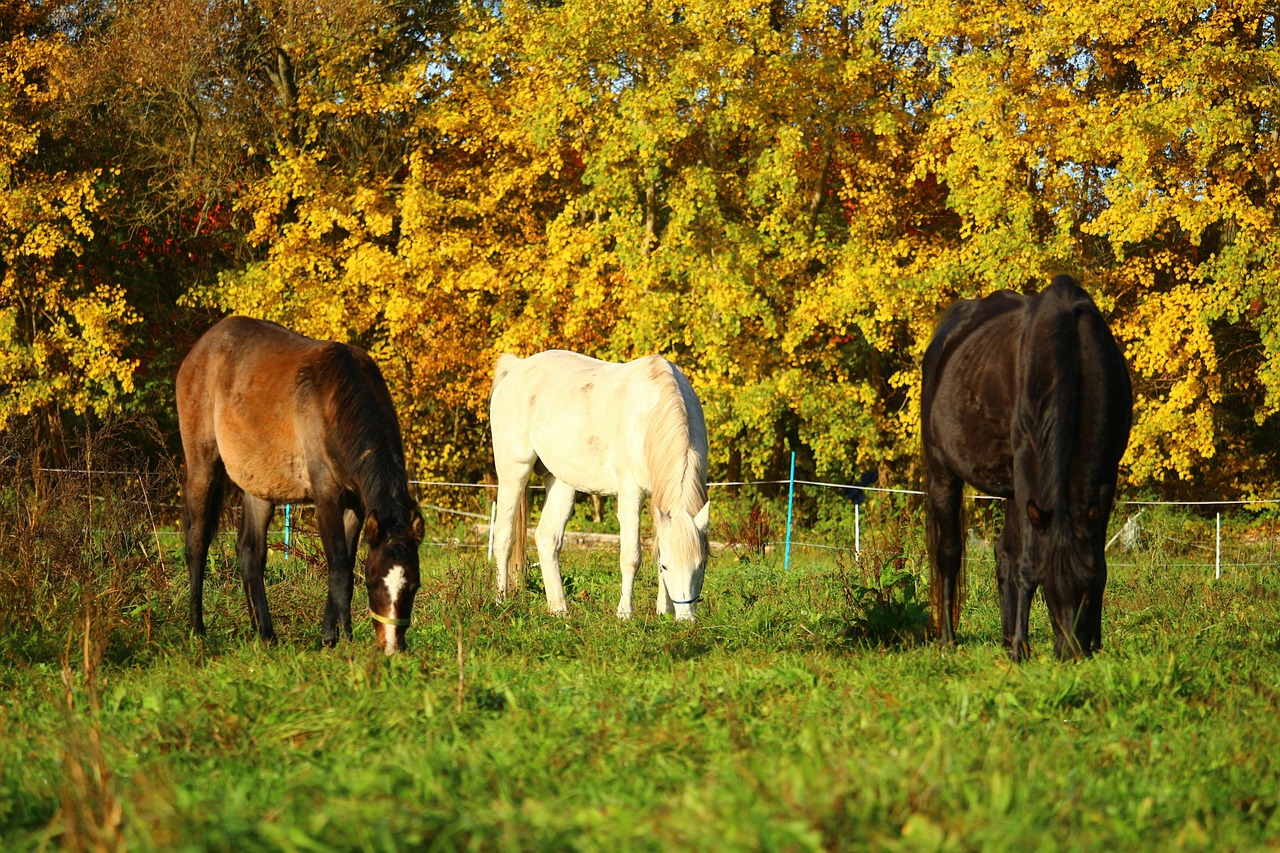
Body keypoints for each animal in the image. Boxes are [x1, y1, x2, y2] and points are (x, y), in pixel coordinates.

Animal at [177, 315, 424, 653]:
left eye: (412, 585)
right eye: (372, 581)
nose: (390, 647)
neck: (335, 401)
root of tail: (198, 350)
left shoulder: (356, 507)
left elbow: (344, 564)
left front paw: (329, 635)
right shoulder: (326, 496)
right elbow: (340, 571)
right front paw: (342, 639)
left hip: (259, 488)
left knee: (250, 552)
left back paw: (265, 633)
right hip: (203, 466)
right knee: (197, 544)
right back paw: (197, 629)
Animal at [488, 348, 711, 622]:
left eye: (700, 565)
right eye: (667, 566)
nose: (685, 619)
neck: (650, 414)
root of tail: (517, 368)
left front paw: (663, 611)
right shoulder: (631, 497)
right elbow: (631, 557)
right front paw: (625, 613)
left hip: (561, 482)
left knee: (547, 538)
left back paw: (559, 609)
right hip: (514, 472)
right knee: (503, 537)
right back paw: (501, 601)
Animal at [921, 275, 1131, 660]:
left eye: (1086, 586)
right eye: (1048, 588)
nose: (1070, 652)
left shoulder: (1107, 475)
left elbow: (1095, 556)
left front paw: (1095, 643)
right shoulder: (1030, 475)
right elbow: (1025, 563)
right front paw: (1021, 648)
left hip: (1012, 490)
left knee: (1003, 553)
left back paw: (1006, 638)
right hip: (944, 474)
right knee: (949, 554)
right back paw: (949, 639)